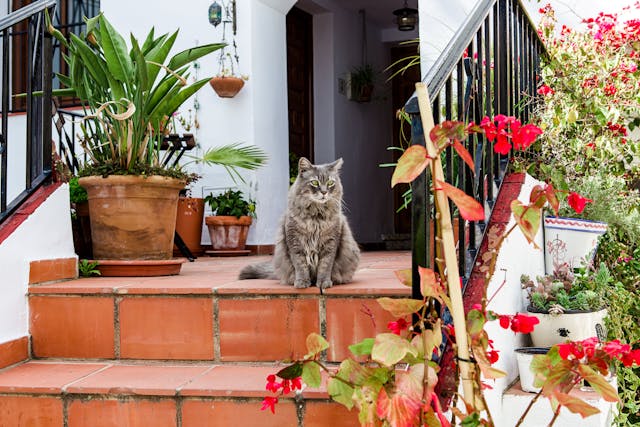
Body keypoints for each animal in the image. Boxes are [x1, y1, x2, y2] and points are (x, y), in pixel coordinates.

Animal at [239, 158, 360, 290]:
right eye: (315, 182)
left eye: (330, 183)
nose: (324, 192)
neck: (316, 217)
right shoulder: (295, 242)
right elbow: (301, 266)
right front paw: (302, 282)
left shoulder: (331, 244)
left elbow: (325, 266)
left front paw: (324, 283)